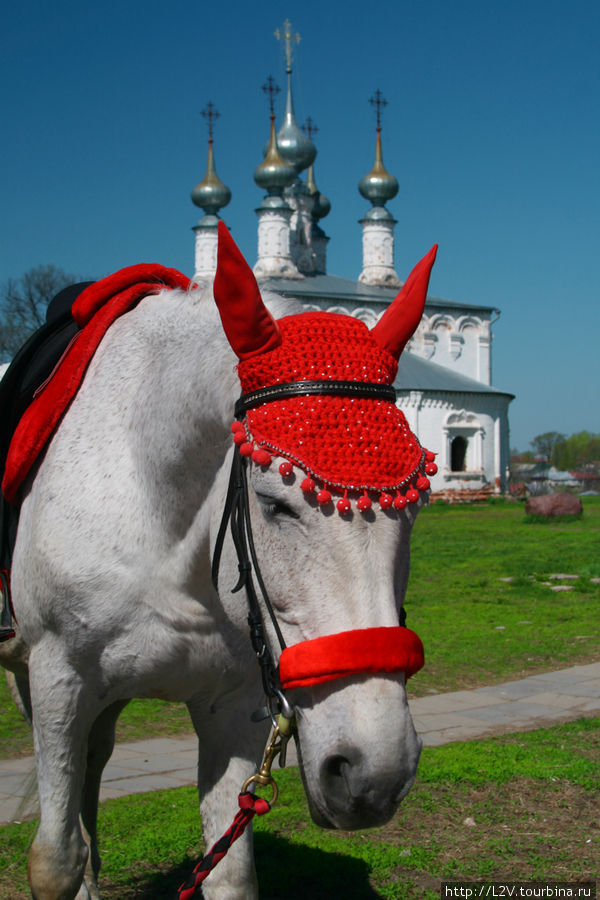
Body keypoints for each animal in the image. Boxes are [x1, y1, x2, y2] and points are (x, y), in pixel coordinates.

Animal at [2, 225, 438, 900]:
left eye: (417, 506)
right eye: (274, 502)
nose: (373, 775)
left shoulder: (231, 705)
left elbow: (228, 872)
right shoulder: (57, 680)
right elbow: (54, 860)